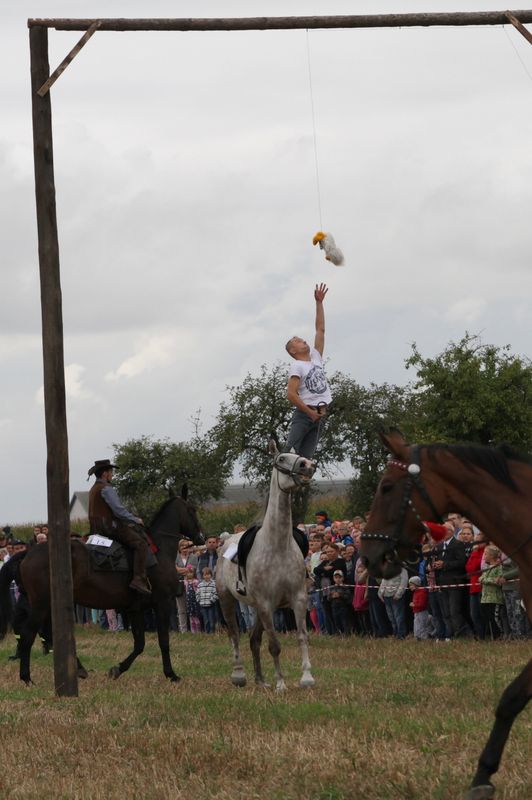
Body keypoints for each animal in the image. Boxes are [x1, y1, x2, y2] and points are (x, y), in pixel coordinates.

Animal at [0, 490, 204, 684]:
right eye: (192, 510)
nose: (201, 538)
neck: (158, 551)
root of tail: (28, 553)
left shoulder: (135, 609)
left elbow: (139, 644)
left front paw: (118, 669)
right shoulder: (163, 603)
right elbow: (163, 642)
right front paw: (171, 674)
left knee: (47, 634)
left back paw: (77, 669)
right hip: (40, 605)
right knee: (28, 634)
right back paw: (26, 677)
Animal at [216, 446, 316, 692]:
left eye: (299, 455)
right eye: (281, 458)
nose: (308, 465)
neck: (277, 545)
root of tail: (225, 539)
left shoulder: (298, 598)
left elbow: (302, 637)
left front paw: (306, 678)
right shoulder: (266, 604)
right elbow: (274, 645)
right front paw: (281, 683)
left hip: (258, 609)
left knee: (254, 640)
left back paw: (261, 681)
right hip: (228, 600)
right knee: (234, 635)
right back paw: (239, 675)